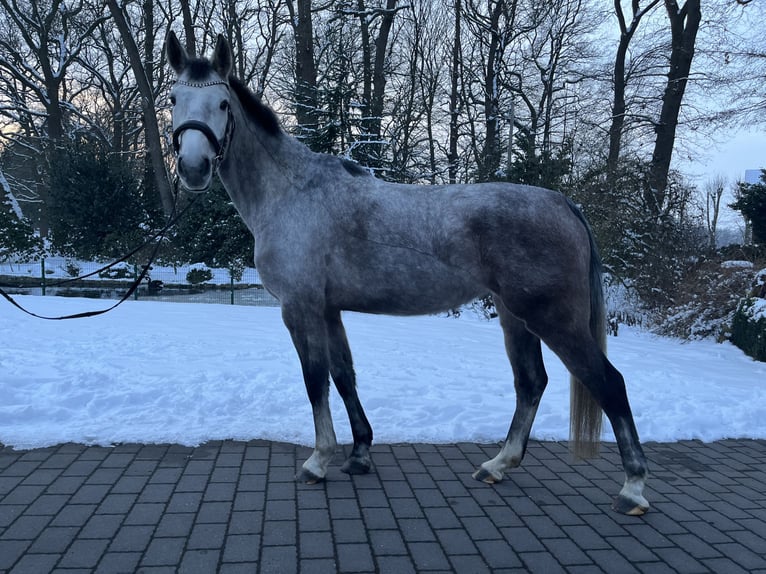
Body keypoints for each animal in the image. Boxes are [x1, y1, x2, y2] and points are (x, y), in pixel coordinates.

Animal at [165, 32, 650, 515]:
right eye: (173, 99)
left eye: (222, 103)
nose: (193, 167)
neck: (292, 193)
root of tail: (562, 203)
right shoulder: (329, 310)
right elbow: (343, 376)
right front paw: (359, 453)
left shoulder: (300, 308)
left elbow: (315, 380)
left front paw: (318, 461)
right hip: (516, 318)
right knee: (531, 383)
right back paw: (497, 465)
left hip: (553, 319)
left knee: (609, 383)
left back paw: (633, 487)